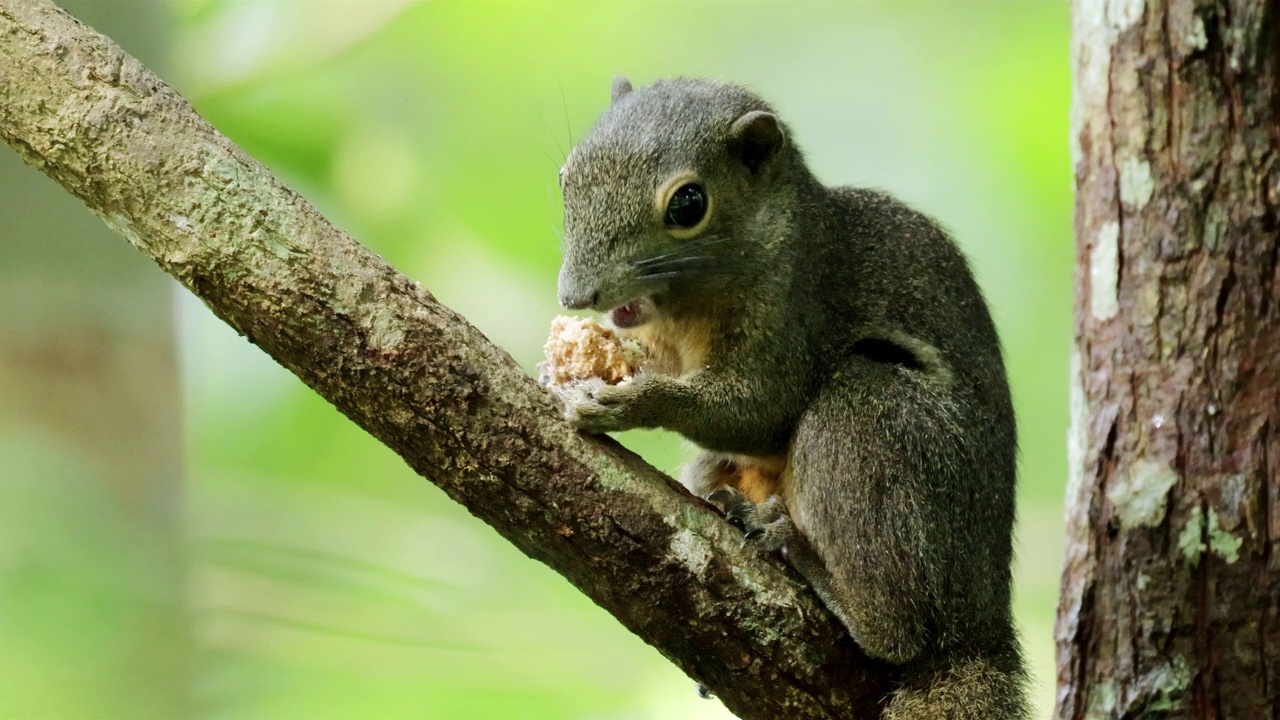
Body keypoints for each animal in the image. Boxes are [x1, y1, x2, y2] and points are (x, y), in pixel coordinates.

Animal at [558, 75, 1029, 712]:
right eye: (566, 175)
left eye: (688, 205)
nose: (576, 296)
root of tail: (980, 621)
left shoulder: (797, 307)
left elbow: (761, 409)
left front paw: (629, 402)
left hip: (870, 418)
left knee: (900, 635)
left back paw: (802, 558)